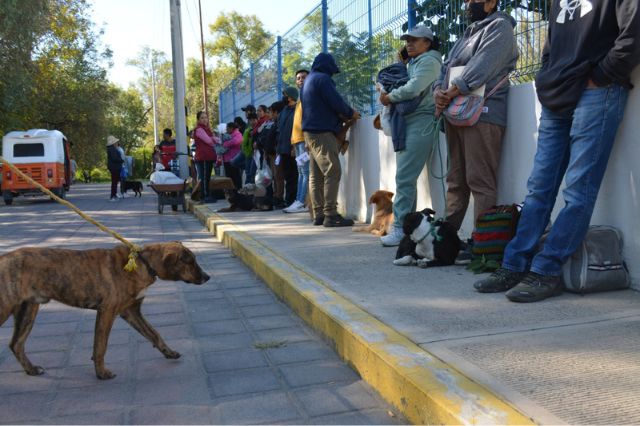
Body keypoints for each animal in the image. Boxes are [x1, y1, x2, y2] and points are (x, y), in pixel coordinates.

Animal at [0, 243, 210, 380]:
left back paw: (32, 370)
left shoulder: (131, 312)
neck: (143, 263)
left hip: (28, 310)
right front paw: (101, 373)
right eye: (190, 261)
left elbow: (154, 334)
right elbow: (100, 346)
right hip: (6, 307)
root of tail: (3, 258)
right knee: (15, 343)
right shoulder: (107, 311)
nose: (207, 277)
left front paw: (169, 352)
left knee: (16, 344)